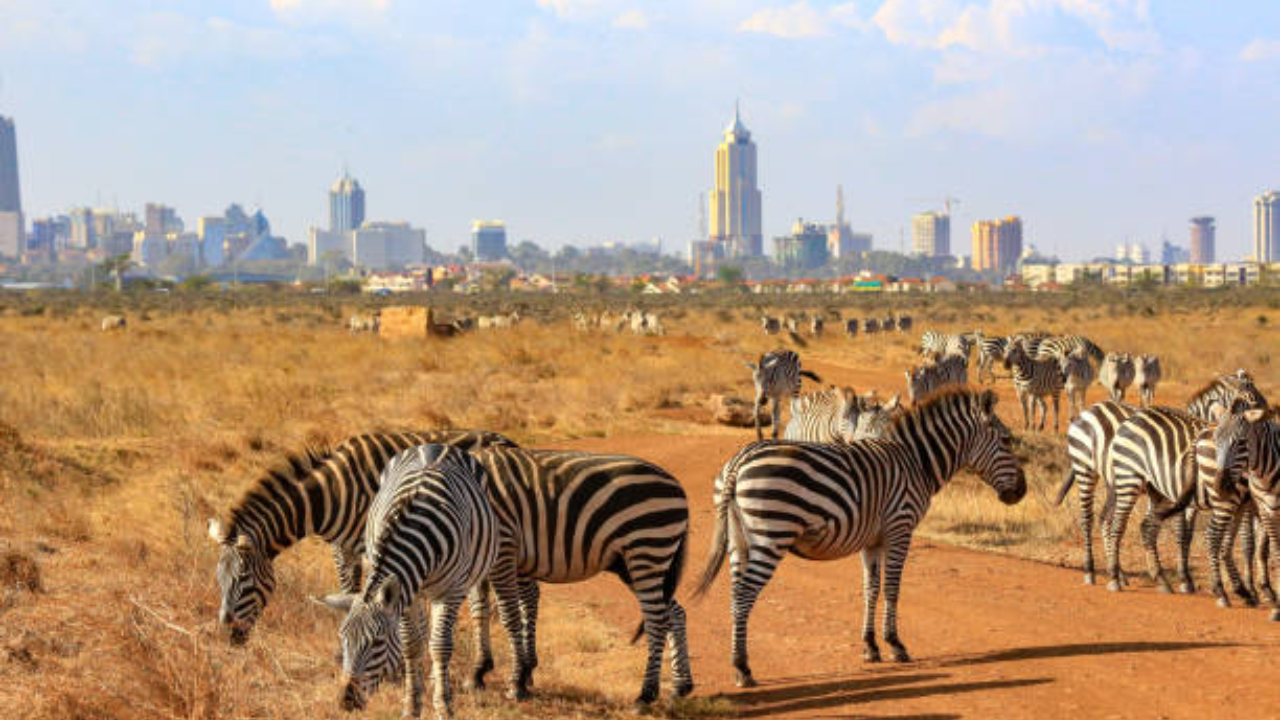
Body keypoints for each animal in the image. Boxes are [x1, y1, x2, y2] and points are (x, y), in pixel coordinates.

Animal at [204, 425, 514, 645]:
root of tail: (508, 441)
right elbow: (348, 590)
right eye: (219, 579)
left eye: (243, 578)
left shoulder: (371, 547)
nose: (228, 636)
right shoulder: (342, 548)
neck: (332, 494)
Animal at [320, 445, 499, 712]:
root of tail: (434, 445)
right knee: (424, 631)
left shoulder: (451, 591)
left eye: (377, 642)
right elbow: (410, 645)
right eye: (343, 639)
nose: (346, 701)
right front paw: (411, 703)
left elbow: (440, 646)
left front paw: (443, 705)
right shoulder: (405, 593)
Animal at [468, 445, 696, 702]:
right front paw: (478, 672)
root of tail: (677, 485)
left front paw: (516, 683)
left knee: (657, 619)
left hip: (647, 548)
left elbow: (508, 615)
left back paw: (646, 693)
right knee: (674, 612)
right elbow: (479, 611)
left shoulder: (504, 548)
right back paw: (681, 686)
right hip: (636, 562)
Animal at [696, 386, 1024, 681]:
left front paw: (870, 647)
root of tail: (739, 462)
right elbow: (892, 588)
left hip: (738, 540)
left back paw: (738, 662)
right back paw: (742, 668)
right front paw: (895, 645)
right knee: (744, 594)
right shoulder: (899, 528)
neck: (916, 462)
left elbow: (871, 589)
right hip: (771, 535)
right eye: (1006, 440)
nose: (1021, 492)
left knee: (734, 593)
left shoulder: (872, 540)